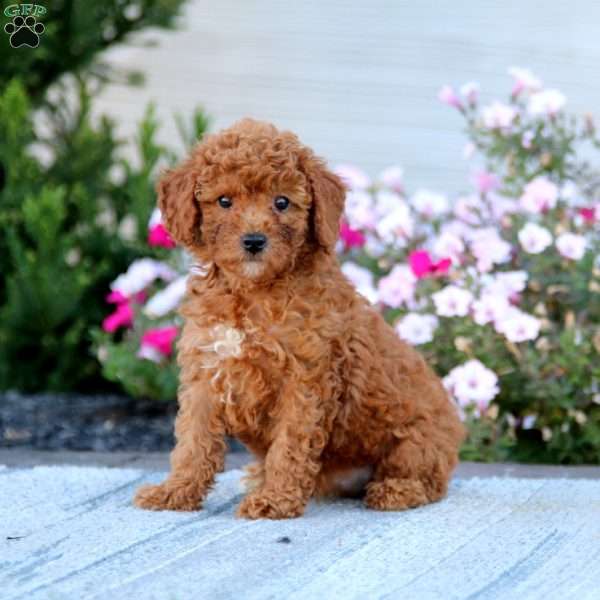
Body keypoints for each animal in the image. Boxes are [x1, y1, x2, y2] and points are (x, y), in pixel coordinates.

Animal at [135, 119, 464, 516]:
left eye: (282, 202)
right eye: (224, 201)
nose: (254, 241)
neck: (252, 292)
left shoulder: (304, 381)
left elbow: (289, 446)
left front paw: (274, 500)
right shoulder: (206, 372)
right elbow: (192, 442)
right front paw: (175, 492)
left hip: (416, 442)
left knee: (427, 481)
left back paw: (394, 490)